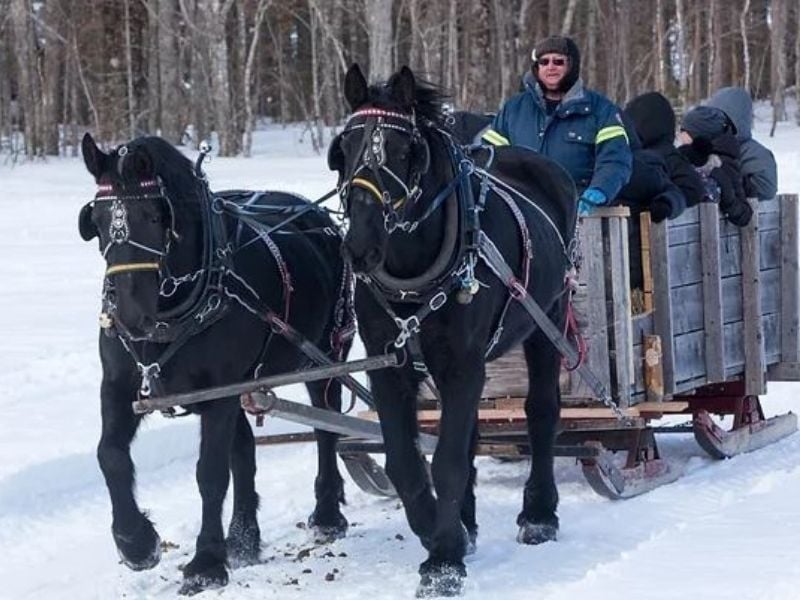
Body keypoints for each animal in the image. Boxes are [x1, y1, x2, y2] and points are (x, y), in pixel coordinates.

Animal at [79, 132, 352, 596]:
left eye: (154, 215)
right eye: (95, 220)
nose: (130, 316)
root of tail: (317, 216)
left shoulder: (219, 392)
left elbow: (209, 473)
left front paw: (206, 562)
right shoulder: (120, 384)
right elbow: (109, 454)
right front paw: (136, 542)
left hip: (327, 355)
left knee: (326, 428)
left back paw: (327, 514)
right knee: (244, 451)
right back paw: (243, 539)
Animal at [328, 67, 580, 596]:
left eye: (405, 150)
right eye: (344, 147)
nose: (359, 247)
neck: (413, 273)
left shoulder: (462, 366)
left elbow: (445, 461)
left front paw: (443, 561)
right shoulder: (391, 368)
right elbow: (407, 462)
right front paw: (444, 532)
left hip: (547, 320)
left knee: (542, 412)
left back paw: (539, 513)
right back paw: (467, 519)